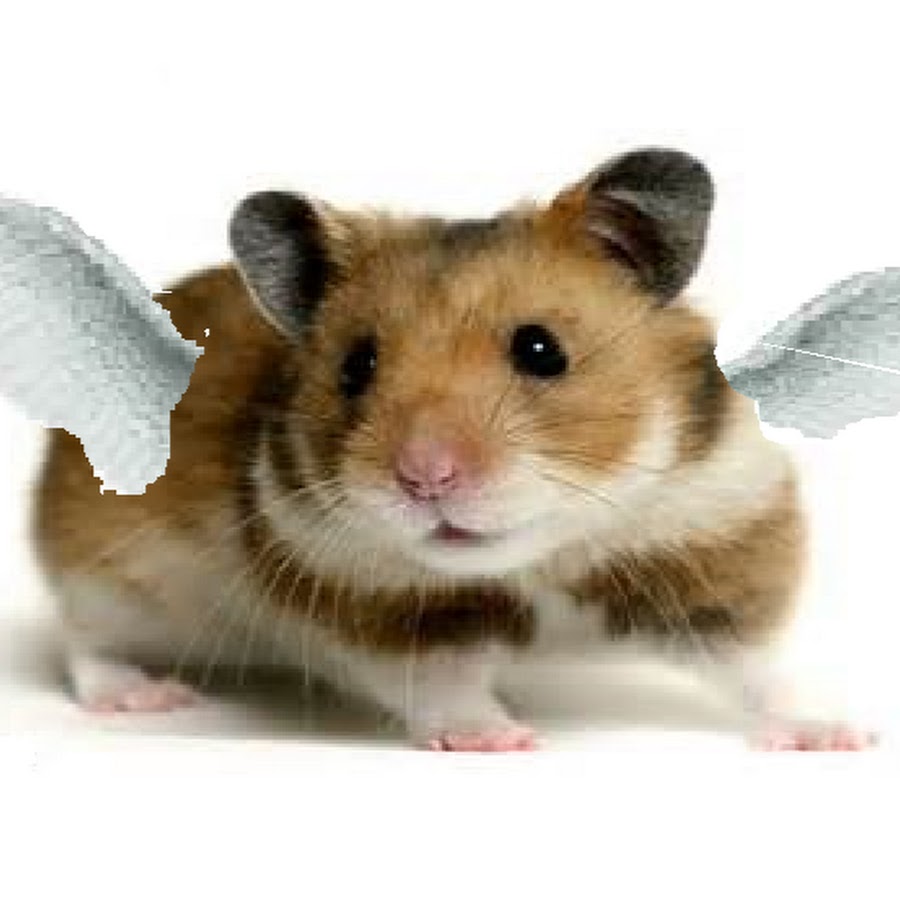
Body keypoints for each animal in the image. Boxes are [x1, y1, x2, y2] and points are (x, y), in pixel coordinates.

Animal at [31, 148, 873, 750]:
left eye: (542, 349)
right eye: (356, 366)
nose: (425, 478)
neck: (540, 558)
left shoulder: (714, 550)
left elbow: (763, 669)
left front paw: (843, 737)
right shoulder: (380, 610)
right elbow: (444, 686)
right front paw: (503, 741)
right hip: (105, 570)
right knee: (85, 644)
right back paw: (146, 695)